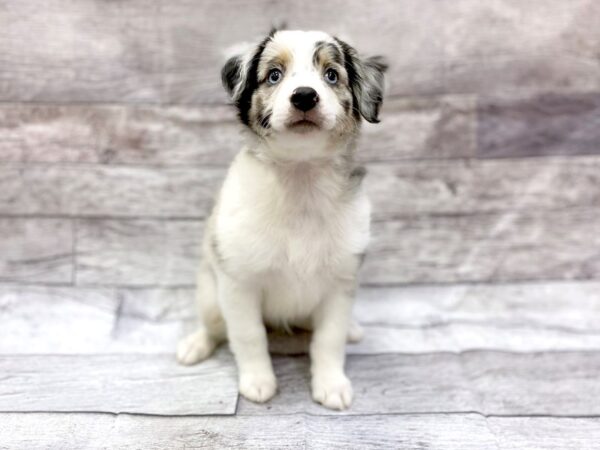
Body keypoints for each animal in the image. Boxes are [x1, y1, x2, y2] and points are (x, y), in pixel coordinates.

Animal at [176, 26, 386, 410]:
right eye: (274, 75)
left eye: (331, 75)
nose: (304, 96)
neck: (300, 181)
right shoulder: (239, 283)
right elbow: (249, 336)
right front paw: (259, 382)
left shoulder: (340, 284)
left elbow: (329, 339)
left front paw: (331, 384)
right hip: (211, 297)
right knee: (213, 327)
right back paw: (195, 344)